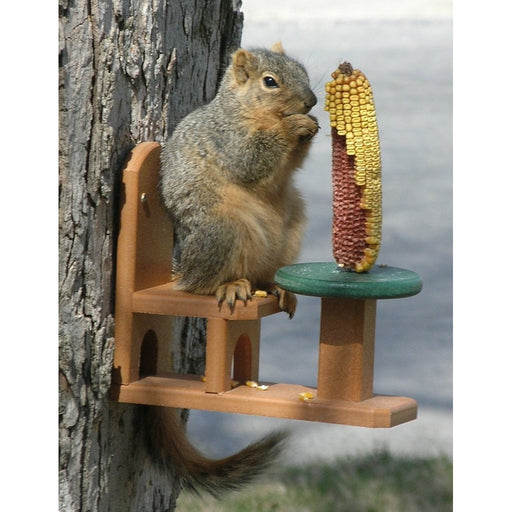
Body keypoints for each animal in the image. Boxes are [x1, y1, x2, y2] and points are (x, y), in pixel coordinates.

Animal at [152, 42, 318, 498]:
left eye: (303, 72)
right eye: (270, 82)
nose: (312, 102)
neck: (244, 108)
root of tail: (182, 268)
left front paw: (313, 126)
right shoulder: (227, 138)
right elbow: (252, 157)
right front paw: (297, 124)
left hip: (292, 224)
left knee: (266, 274)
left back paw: (278, 289)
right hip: (221, 229)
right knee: (203, 285)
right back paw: (229, 287)